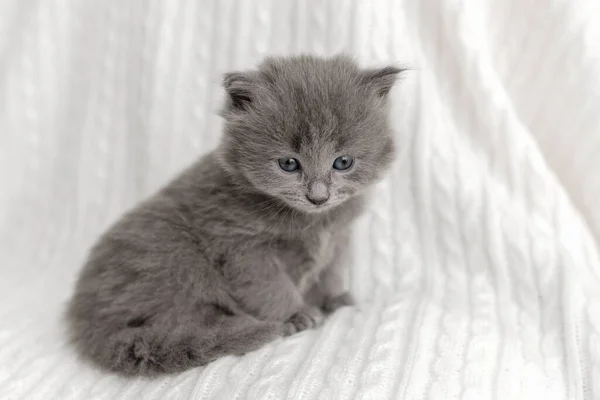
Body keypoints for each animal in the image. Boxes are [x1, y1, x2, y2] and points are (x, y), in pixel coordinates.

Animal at [65, 54, 404, 376]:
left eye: (343, 162)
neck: (313, 221)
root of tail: (86, 319)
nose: (318, 196)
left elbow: (330, 271)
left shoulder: (338, 237)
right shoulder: (241, 247)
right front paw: (295, 315)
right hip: (174, 255)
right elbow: (270, 287)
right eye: (289, 164)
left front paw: (334, 300)